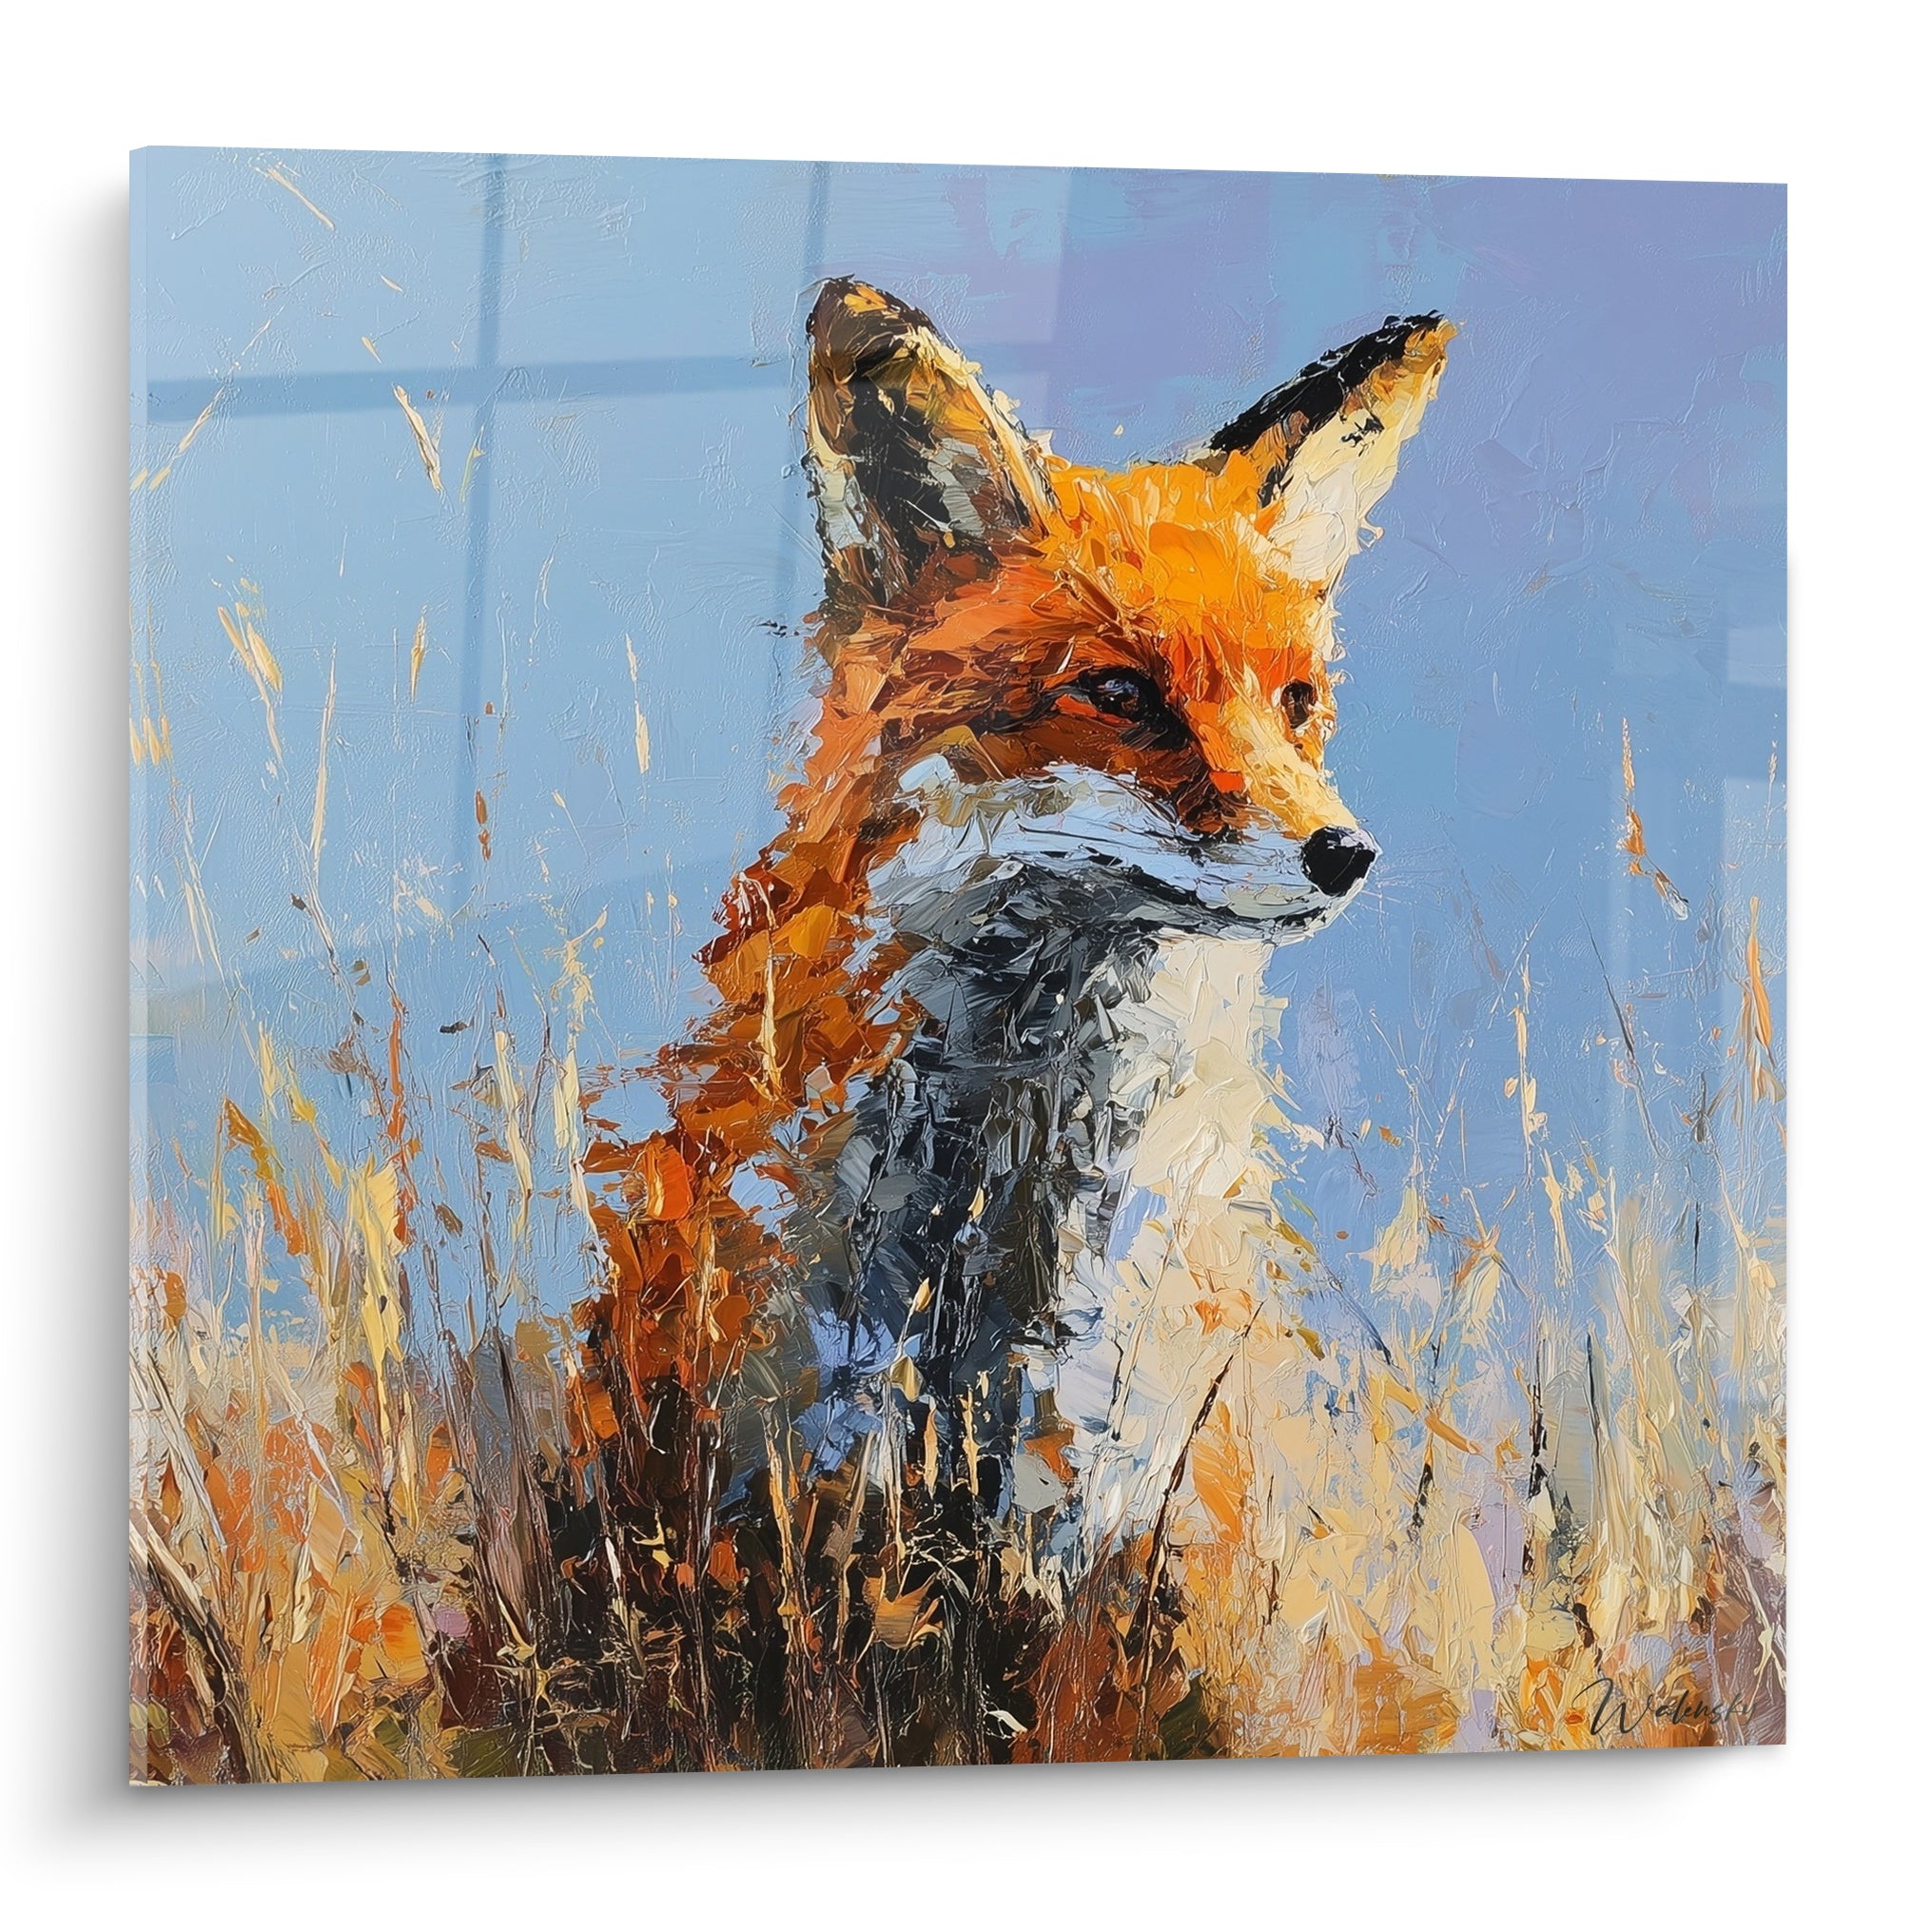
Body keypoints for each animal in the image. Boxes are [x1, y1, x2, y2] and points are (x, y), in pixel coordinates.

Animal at [573, 277, 1454, 1768]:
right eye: (1121, 694)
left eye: (1296, 703)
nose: (1344, 854)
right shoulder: (806, 1472)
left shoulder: (1091, 1497)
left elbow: (1061, 1696)